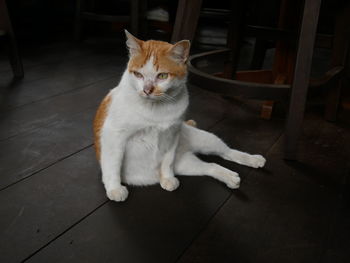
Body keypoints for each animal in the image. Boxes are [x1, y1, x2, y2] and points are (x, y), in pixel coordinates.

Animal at [93, 31, 266, 204]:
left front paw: (168, 178)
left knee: (226, 152)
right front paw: (115, 189)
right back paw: (231, 177)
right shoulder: (114, 135)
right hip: (187, 165)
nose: (147, 90)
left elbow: (167, 161)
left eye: (162, 76)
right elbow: (113, 164)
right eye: (138, 74)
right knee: (211, 166)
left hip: (204, 139)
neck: (155, 109)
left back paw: (253, 160)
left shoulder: (172, 135)